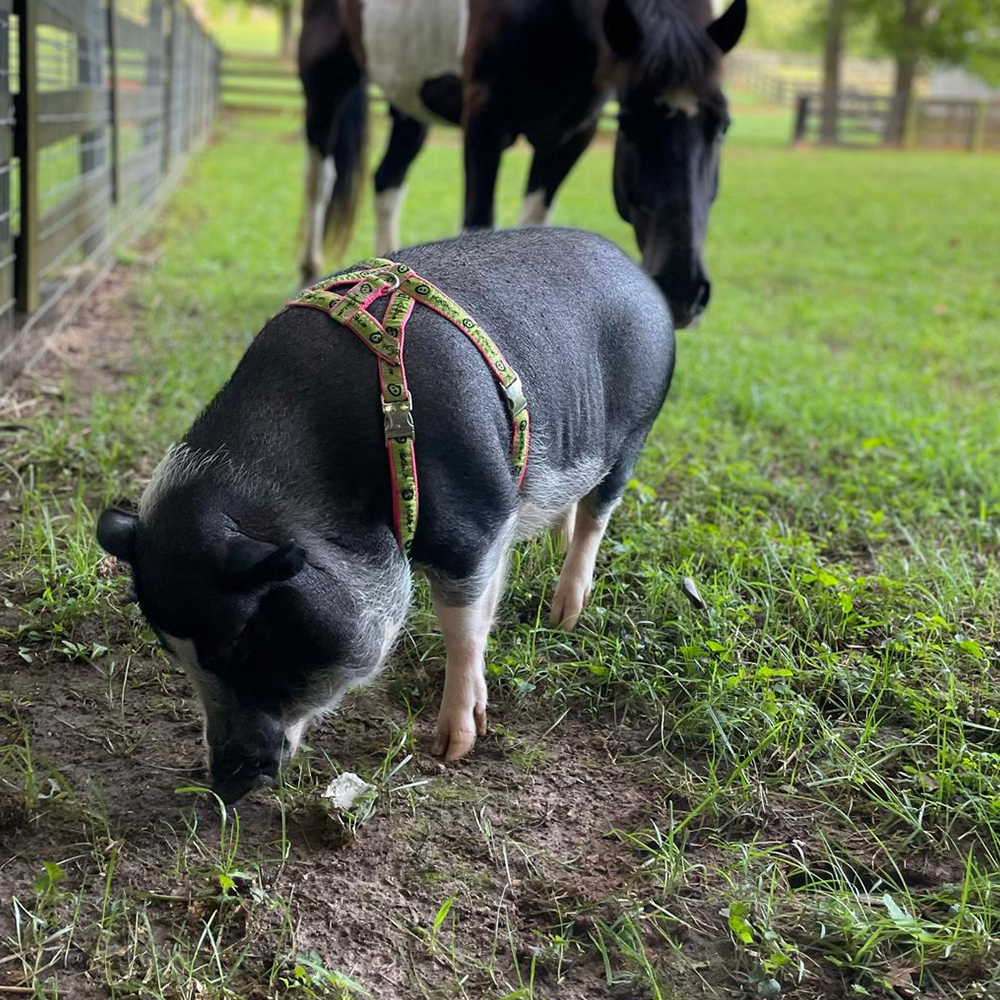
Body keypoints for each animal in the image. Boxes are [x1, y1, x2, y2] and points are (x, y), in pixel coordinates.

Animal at [96, 227, 676, 803]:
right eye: (171, 649)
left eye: (242, 639)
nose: (222, 783)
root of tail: (636, 272)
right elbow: (484, 606)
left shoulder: (474, 522)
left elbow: (464, 626)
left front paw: (453, 746)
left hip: (636, 433)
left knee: (599, 513)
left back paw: (564, 616)